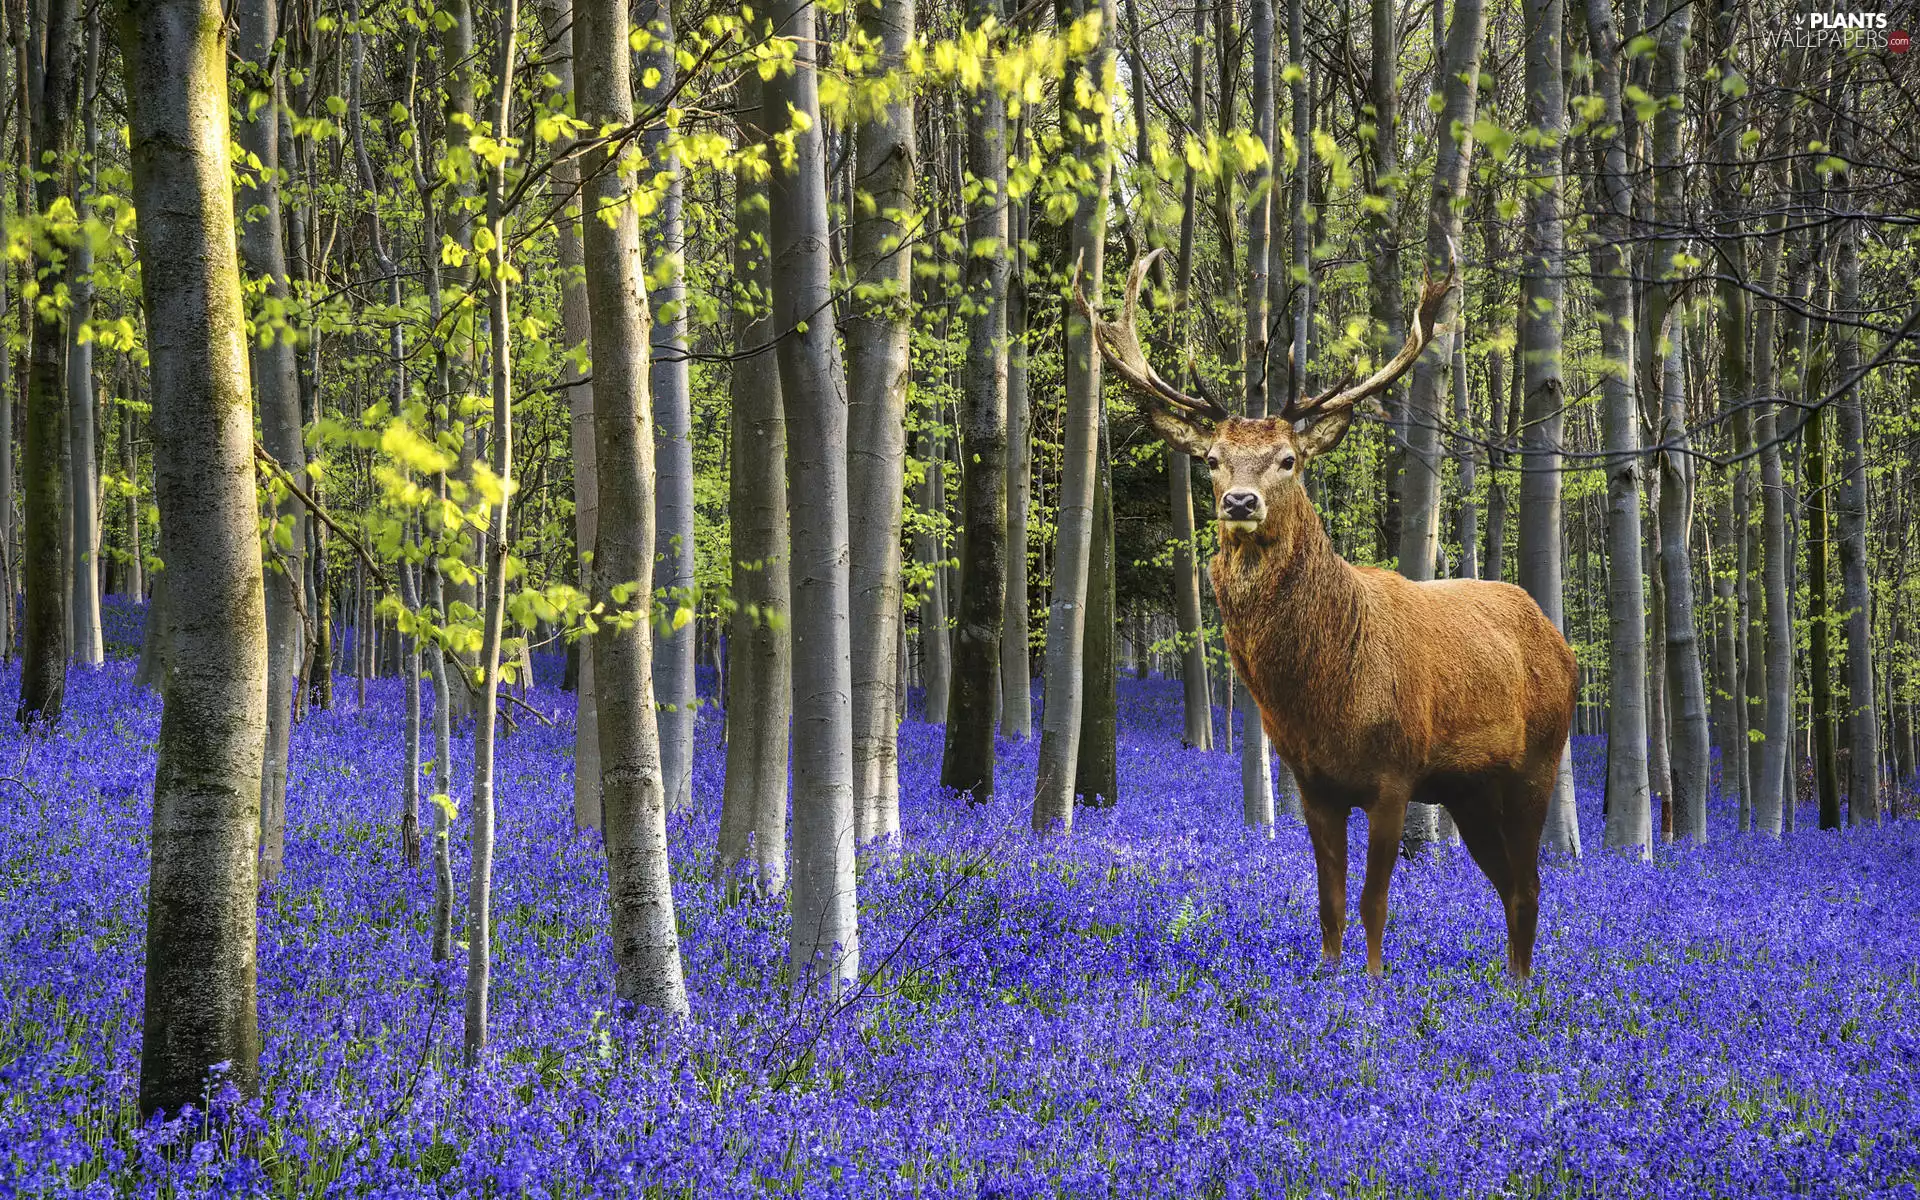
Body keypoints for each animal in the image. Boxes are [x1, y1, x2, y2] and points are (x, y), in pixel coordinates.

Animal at [1079, 251, 1576, 980]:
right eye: (1211, 460)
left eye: (1289, 459)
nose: (1240, 501)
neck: (1327, 694)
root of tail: (1561, 645)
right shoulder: (1314, 783)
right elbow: (1330, 903)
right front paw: (1329, 978)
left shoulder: (1395, 774)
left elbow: (1374, 903)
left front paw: (1369, 987)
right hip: (1470, 791)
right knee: (1511, 884)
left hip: (1536, 762)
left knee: (1531, 884)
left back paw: (1520, 989)